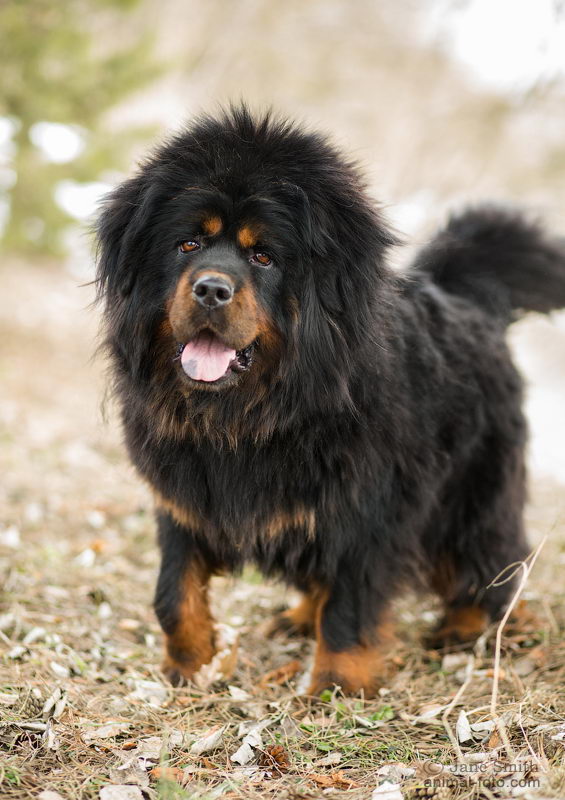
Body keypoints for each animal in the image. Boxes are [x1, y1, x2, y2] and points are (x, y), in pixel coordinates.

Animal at [96, 106, 565, 695]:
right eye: (188, 245)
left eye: (263, 256)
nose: (210, 289)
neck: (251, 416)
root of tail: (471, 296)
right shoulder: (184, 501)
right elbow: (173, 594)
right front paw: (189, 665)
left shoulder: (368, 512)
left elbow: (349, 607)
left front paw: (337, 685)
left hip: (472, 492)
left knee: (488, 559)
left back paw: (466, 628)